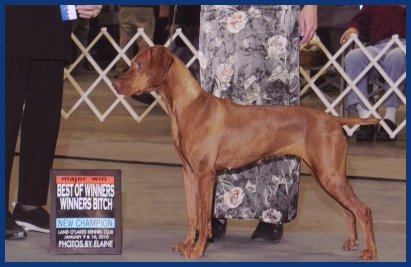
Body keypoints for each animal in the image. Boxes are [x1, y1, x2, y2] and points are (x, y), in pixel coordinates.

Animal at [112, 46, 380, 262]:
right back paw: (352, 242)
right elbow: (192, 215)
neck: (189, 106)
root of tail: (333, 119)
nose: (115, 84)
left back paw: (370, 251)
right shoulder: (188, 173)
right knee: (348, 210)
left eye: (138, 65)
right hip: (325, 175)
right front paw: (187, 244)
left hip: (329, 175)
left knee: (363, 210)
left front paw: (198, 249)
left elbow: (203, 216)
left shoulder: (205, 174)